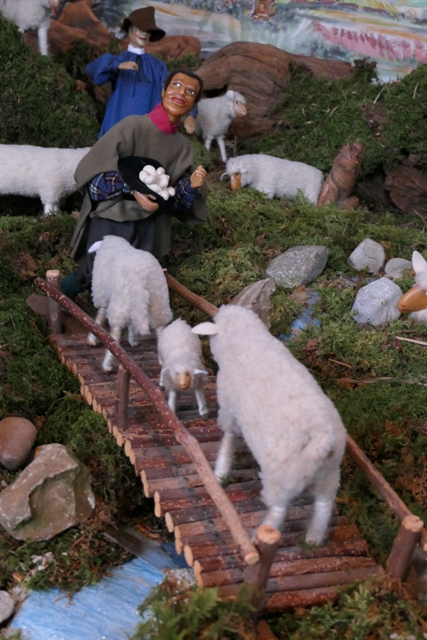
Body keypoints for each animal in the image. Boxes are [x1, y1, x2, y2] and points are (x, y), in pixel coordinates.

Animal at [86, 238, 173, 372]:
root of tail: (143, 275)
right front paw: (133, 339)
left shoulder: (102, 294)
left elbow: (100, 316)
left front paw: (92, 338)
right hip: (159, 299)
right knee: (160, 327)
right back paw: (162, 360)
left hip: (120, 300)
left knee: (115, 335)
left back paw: (107, 365)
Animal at [194, 306, 348, 544]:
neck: (247, 338)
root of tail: (324, 438)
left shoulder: (229, 407)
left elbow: (229, 437)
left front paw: (220, 472)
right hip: (329, 475)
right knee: (324, 505)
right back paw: (312, 539)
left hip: (282, 477)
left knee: (278, 511)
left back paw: (259, 536)